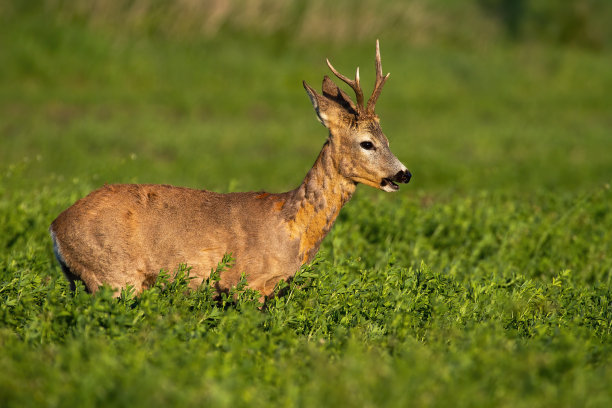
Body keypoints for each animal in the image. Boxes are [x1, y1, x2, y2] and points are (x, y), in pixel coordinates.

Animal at [49, 40, 412, 296]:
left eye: (388, 138)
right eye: (367, 143)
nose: (403, 174)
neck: (288, 227)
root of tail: (55, 228)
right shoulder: (246, 282)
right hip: (113, 276)